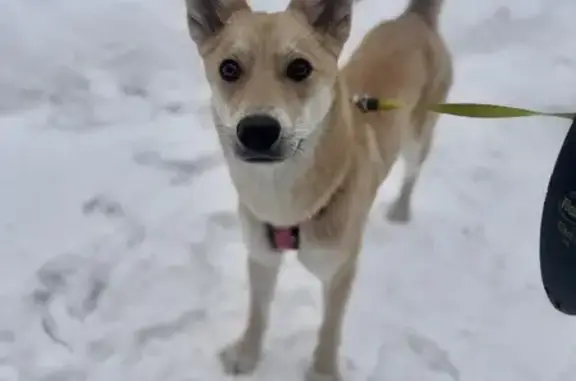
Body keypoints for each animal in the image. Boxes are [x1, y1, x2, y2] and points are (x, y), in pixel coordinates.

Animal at [182, 0, 452, 378]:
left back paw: (401, 210)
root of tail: (414, 17)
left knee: (412, 172)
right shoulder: (261, 256)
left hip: (418, 134)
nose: (257, 131)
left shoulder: (340, 269)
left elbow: (329, 327)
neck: (284, 202)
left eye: (300, 67)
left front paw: (323, 371)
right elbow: (258, 312)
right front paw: (247, 355)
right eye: (229, 68)